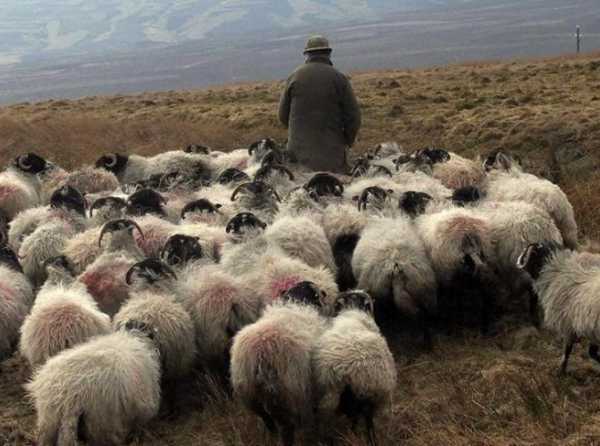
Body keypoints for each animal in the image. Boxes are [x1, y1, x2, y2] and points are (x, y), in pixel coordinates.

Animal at [232, 282, 330, 446]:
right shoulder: (311, 388)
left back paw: (271, 435)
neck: (296, 301)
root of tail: (262, 355)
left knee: (266, 418)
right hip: (289, 394)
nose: (324, 293)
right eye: (317, 292)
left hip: (249, 393)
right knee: (286, 427)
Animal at [516, 240, 600, 372]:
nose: (518, 261)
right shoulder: (589, 327)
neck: (558, 270)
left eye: (528, 251)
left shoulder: (568, 324)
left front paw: (561, 370)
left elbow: (568, 350)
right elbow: (591, 352)